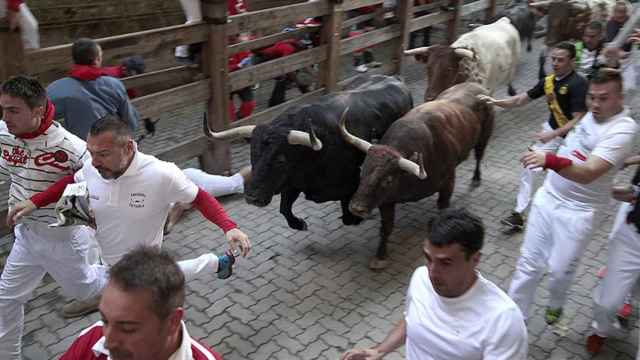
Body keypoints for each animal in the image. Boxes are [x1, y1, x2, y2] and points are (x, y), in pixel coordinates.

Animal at [205, 74, 416, 231]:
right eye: (252, 155)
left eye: (281, 160)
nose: (251, 197)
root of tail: (395, 79)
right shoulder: (292, 183)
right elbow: (284, 209)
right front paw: (299, 224)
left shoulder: (350, 182)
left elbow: (348, 212)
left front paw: (356, 217)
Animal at [340, 83, 496, 268]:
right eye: (363, 170)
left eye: (388, 180)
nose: (356, 208)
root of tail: (477, 86)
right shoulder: (386, 201)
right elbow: (386, 227)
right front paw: (380, 256)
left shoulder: (448, 182)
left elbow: (443, 206)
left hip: (484, 137)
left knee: (479, 155)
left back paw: (476, 179)